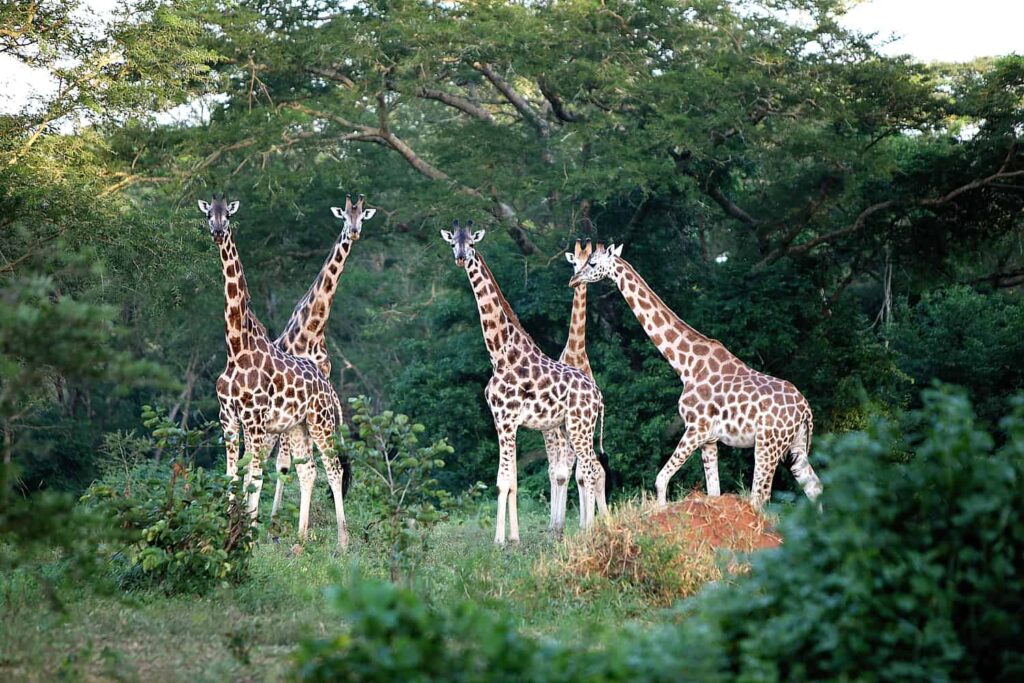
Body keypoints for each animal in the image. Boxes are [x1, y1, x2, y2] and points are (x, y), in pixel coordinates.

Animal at [197, 193, 354, 548]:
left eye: (228, 215)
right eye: (208, 215)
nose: (217, 232)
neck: (237, 347)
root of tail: (327, 387)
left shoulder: (255, 421)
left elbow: (253, 475)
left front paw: (248, 536)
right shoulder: (229, 419)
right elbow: (233, 474)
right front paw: (229, 531)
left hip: (320, 422)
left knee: (333, 469)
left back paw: (342, 541)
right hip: (297, 426)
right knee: (308, 470)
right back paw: (300, 538)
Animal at [266, 192, 374, 532]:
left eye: (362, 216)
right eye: (344, 216)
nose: (354, 232)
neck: (313, 328)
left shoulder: (321, 384)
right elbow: (287, 461)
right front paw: (278, 518)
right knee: (271, 455)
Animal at [440, 222, 606, 540]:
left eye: (472, 244)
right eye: (453, 243)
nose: (460, 257)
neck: (500, 352)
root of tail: (598, 396)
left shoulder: (507, 419)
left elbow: (504, 480)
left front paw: (500, 540)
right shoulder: (502, 420)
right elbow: (511, 479)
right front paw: (514, 537)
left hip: (579, 427)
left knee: (592, 470)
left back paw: (592, 530)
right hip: (570, 428)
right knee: (589, 469)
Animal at [569, 244, 823, 507]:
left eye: (592, 263)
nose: (573, 280)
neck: (687, 366)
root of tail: (806, 410)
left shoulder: (696, 428)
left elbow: (661, 479)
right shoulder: (709, 439)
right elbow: (713, 491)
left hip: (767, 444)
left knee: (760, 497)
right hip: (795, 448)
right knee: (815, 488)